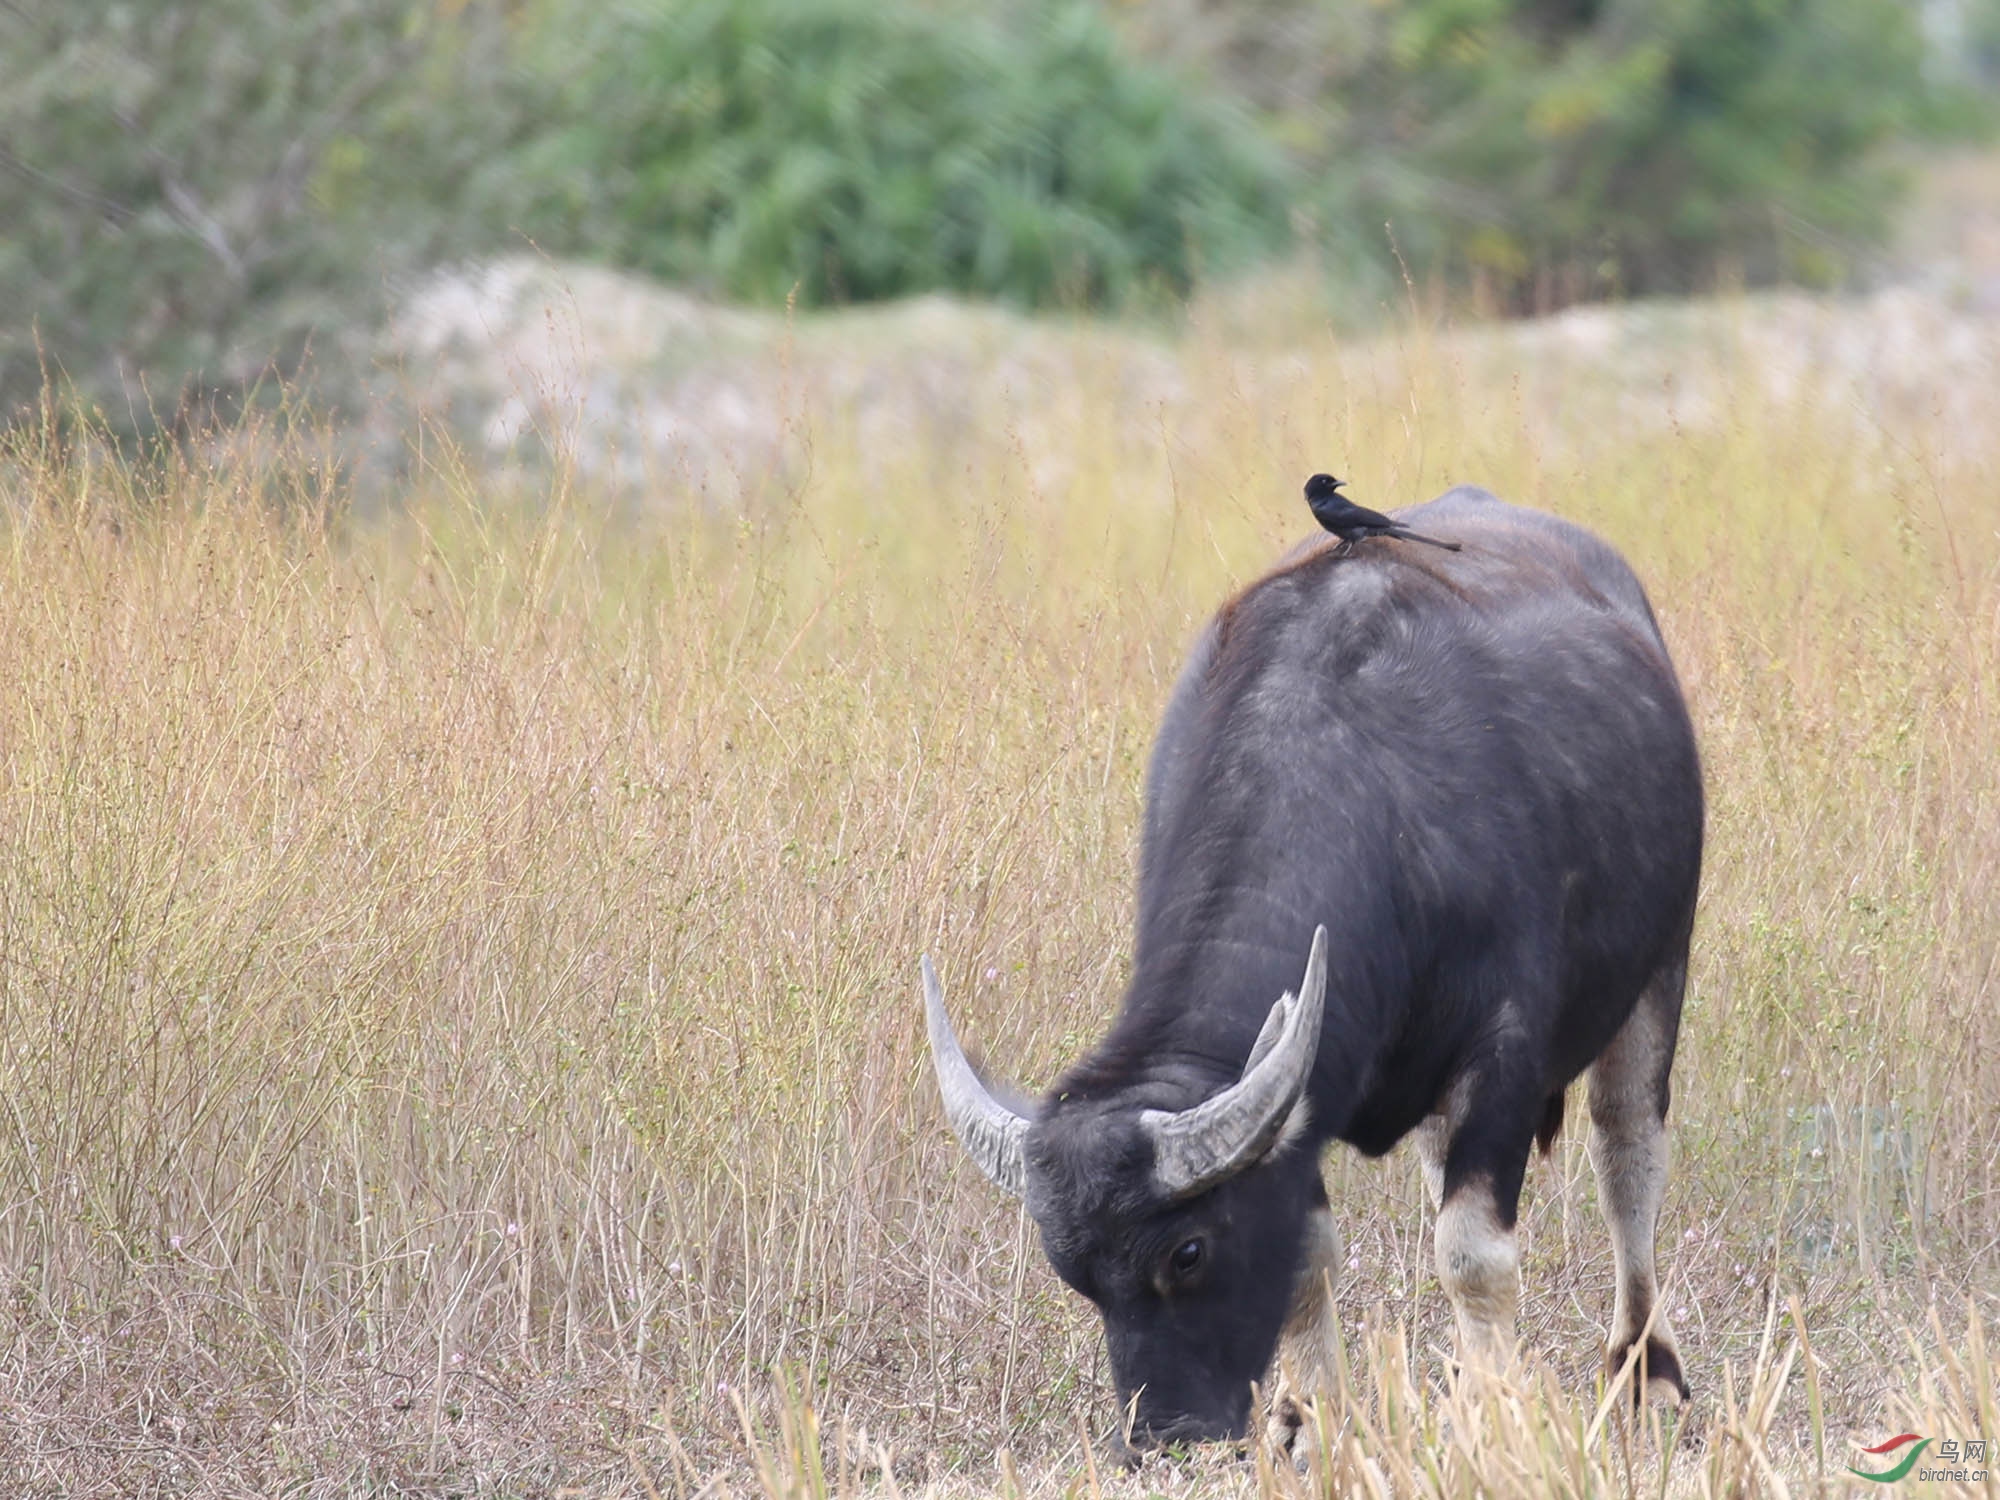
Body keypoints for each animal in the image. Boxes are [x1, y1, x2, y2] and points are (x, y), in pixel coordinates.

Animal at [920, 488, 1704, 1448]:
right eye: (1071, 1271)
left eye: (1188, 1251)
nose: (1166, 1432)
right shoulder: (1307, 1103)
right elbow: (1308, 1263)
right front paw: (1312, 1421)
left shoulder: (1504, 1055)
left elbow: (1473, 1253)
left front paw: (1492, 1410)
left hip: (1662, 962)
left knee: (1627, 1150)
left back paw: (1646, 1370)